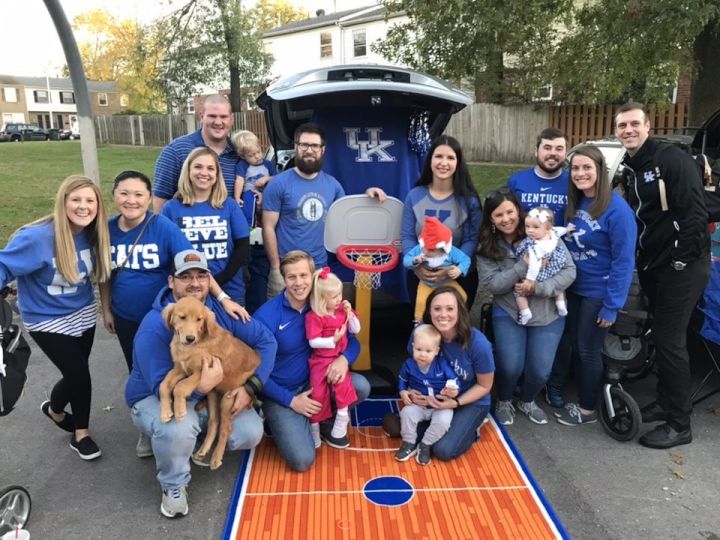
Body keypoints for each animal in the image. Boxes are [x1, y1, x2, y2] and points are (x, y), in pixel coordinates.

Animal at [159, 296, 260, 470]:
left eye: (199, 320)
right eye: (182, 317)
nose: (190, 338)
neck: (195, 344)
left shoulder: (202, 371)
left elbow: (180, 387)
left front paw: (179, 410)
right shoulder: (180, 368)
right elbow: (163, 385)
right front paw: (165, 411)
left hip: (228, 399)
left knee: (225, 429)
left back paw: (216, 458)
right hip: (213, 393)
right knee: (214, 422)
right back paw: (203, 450)